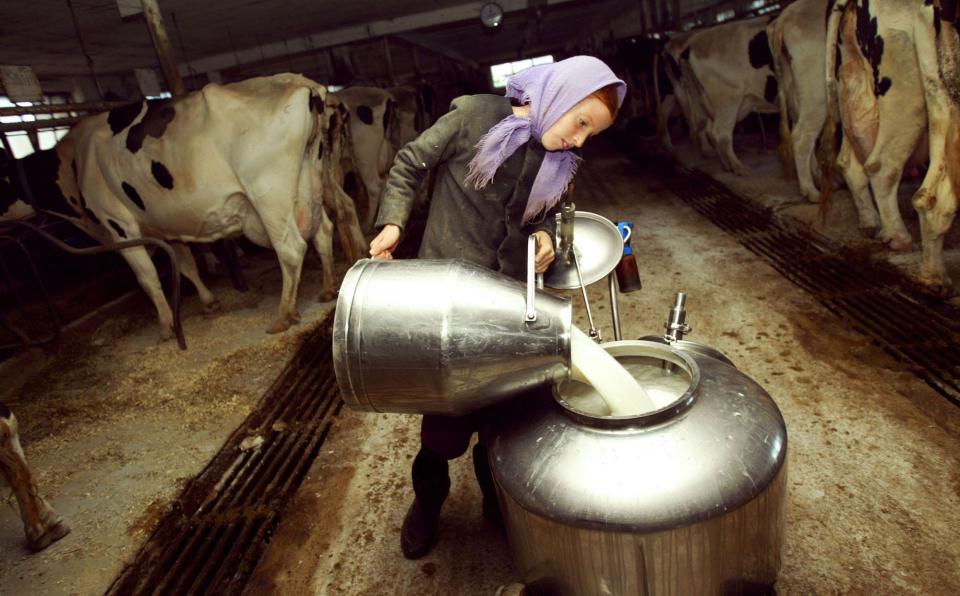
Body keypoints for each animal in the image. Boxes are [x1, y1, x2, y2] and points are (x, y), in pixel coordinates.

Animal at [820, 0, 956, 292]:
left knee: (851, 161)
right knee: (884, 166)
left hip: (855, 83)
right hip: (907, 91)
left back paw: (871, 223)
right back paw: (904, 243)